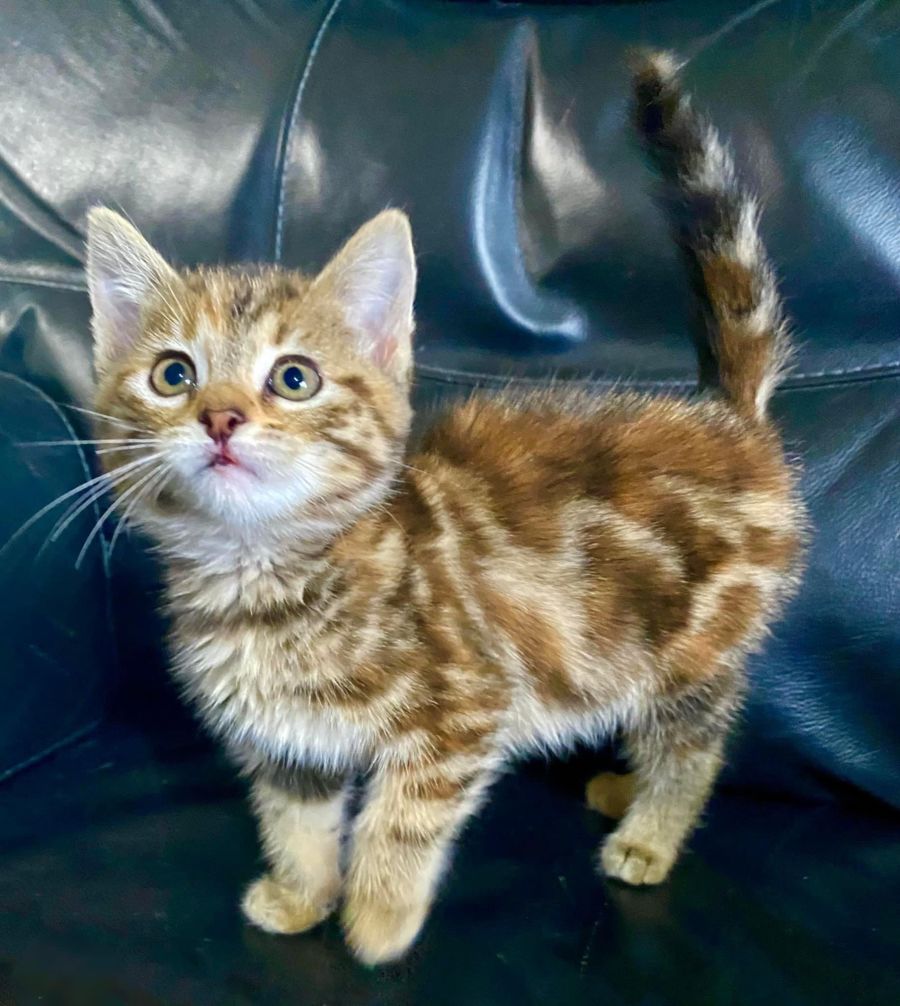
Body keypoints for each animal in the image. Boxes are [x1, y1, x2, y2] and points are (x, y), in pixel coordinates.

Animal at [85, 52, 803, 964]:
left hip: (692, 645)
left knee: (695, 744)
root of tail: (729, 417)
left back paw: (650, 831)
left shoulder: (461, 710)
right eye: (173, 374)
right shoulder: (292, 742)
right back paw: (621, 787)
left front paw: (377, 923)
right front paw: (302, 894)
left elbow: (400, 823)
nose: (220, 417)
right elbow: (297, 820)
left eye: (294, 378)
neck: (268, 575)